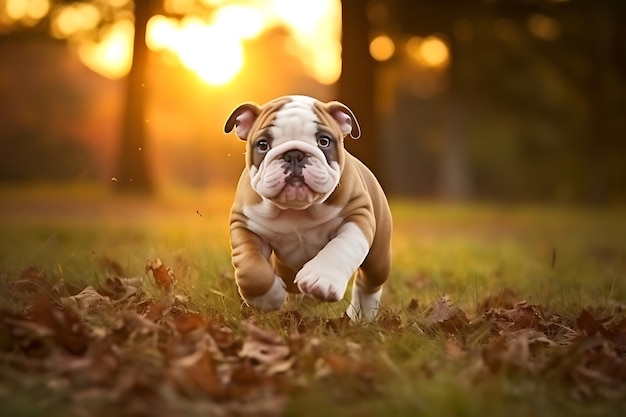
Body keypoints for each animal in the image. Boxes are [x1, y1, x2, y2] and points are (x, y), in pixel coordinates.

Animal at [223, 95, 390, 322]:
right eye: (263, 145)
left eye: (324, 141)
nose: (294, 154)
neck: (297, 209)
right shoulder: (245, 225)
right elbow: (251, 269)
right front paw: (267, 298)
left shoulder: (357, 214)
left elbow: (341, 247)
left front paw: (321, 279)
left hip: (378, 257)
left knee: (369, 282)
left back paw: (361, 316)